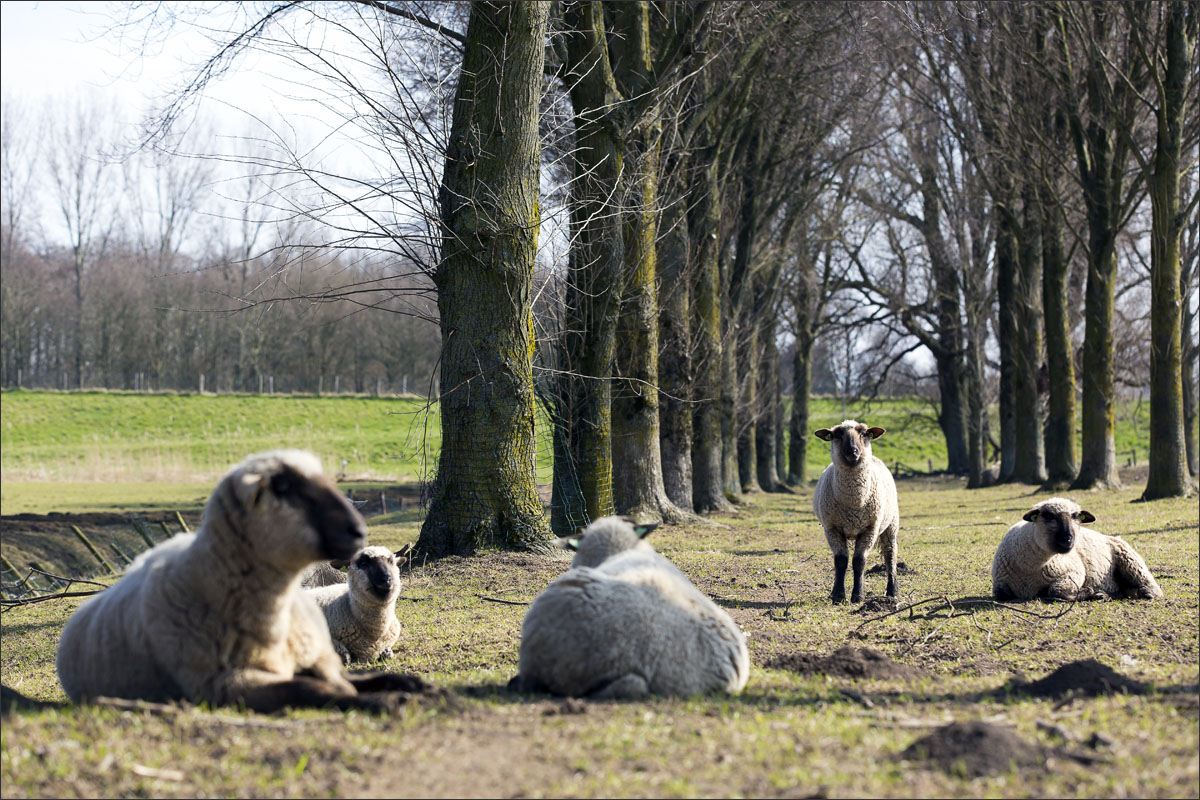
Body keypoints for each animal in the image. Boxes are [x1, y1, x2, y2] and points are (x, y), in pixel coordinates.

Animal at [811, 422, 897, 604]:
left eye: (864, 433)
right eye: (837, 435)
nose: (853, 452)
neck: (853, 502)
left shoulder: (870, 529)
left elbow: (859, 561)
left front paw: (858, 596)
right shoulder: (832, 528)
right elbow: (841, 560)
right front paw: (838, 596)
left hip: (891, 523)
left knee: (890, 554)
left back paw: (892, 592)